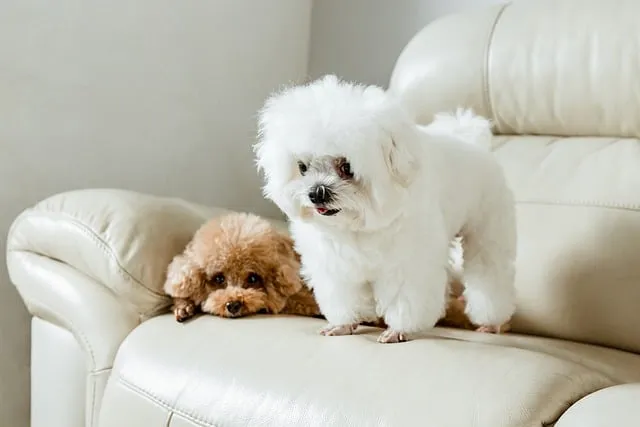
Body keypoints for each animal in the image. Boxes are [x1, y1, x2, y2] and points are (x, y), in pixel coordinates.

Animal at [252, 75, 516, 344]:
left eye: (346, 167)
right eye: (302, 167)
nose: (316, 193)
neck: (357, 224)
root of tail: (472, 143)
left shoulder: (408, 264)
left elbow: (405, 299)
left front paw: (399, 330)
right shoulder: (337, 266)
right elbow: (344, 296)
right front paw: (343, 325)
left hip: (487, 233)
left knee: (489, 276)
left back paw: (491, 322)